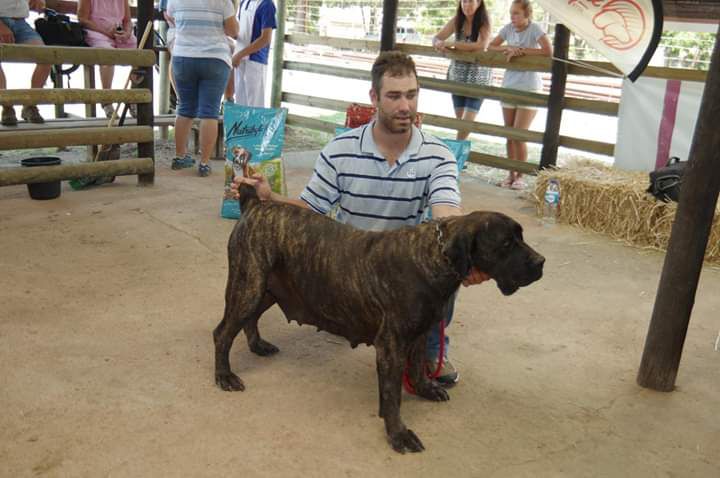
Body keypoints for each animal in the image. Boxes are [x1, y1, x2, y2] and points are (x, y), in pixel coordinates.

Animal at [214, 185, 544, 454]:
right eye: (506, 244)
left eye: (520, 237)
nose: (541, 262)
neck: (434, 257)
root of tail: (256, 204)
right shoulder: (391, 346)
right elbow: (392, 394)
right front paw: (398, 434)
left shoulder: (420, 333)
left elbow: (418, 367)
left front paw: (424, 389)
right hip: (249, 285)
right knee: (223, 333)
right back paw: (224, 376)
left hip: (267, 288)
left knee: (248, 320)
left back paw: (258, 345)